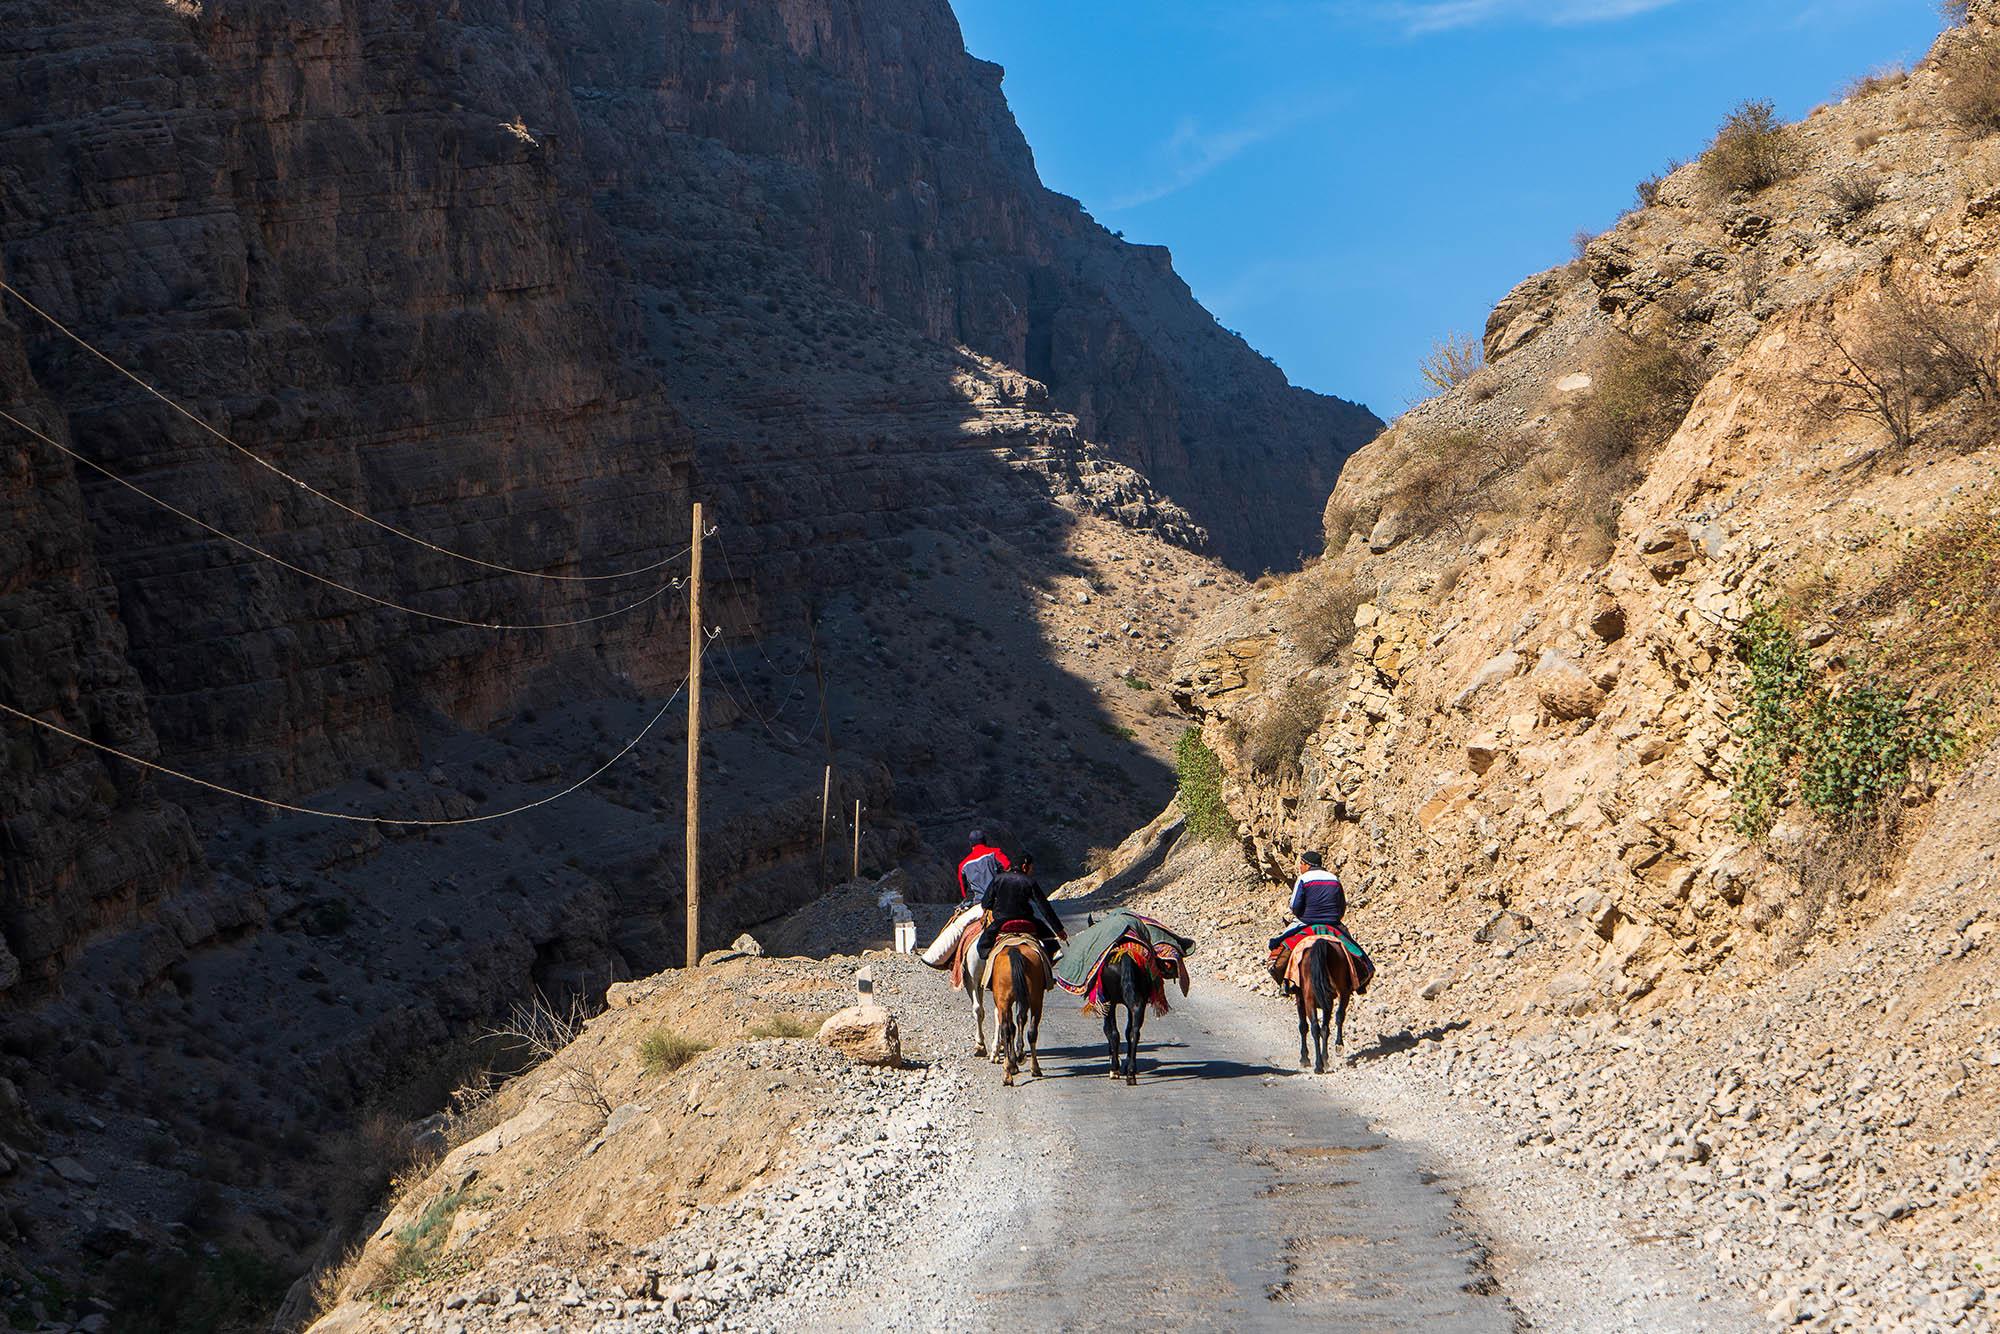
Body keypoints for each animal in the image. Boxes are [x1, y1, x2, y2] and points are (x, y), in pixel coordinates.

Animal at [984, 940, 1048, 1088]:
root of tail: (1015, 950)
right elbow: (1018, 1023)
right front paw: (1017, 1057)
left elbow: (1011, 1027)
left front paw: (1014, 1062)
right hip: (1035, 998)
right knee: (1029, 1030)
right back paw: (1031, 1068)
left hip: (1006, 1000)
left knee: (1007, 1029)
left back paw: (1010, 1073)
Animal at [1296, 940, 1360, 1072]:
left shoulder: (1299, 997)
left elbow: (1303, 1027)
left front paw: (1304, 1058)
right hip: (1339, 991)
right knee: (1333, 1020)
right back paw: (1333, 1051)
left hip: (1309, 997)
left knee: (1315, 1027)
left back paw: (1319, 1065)